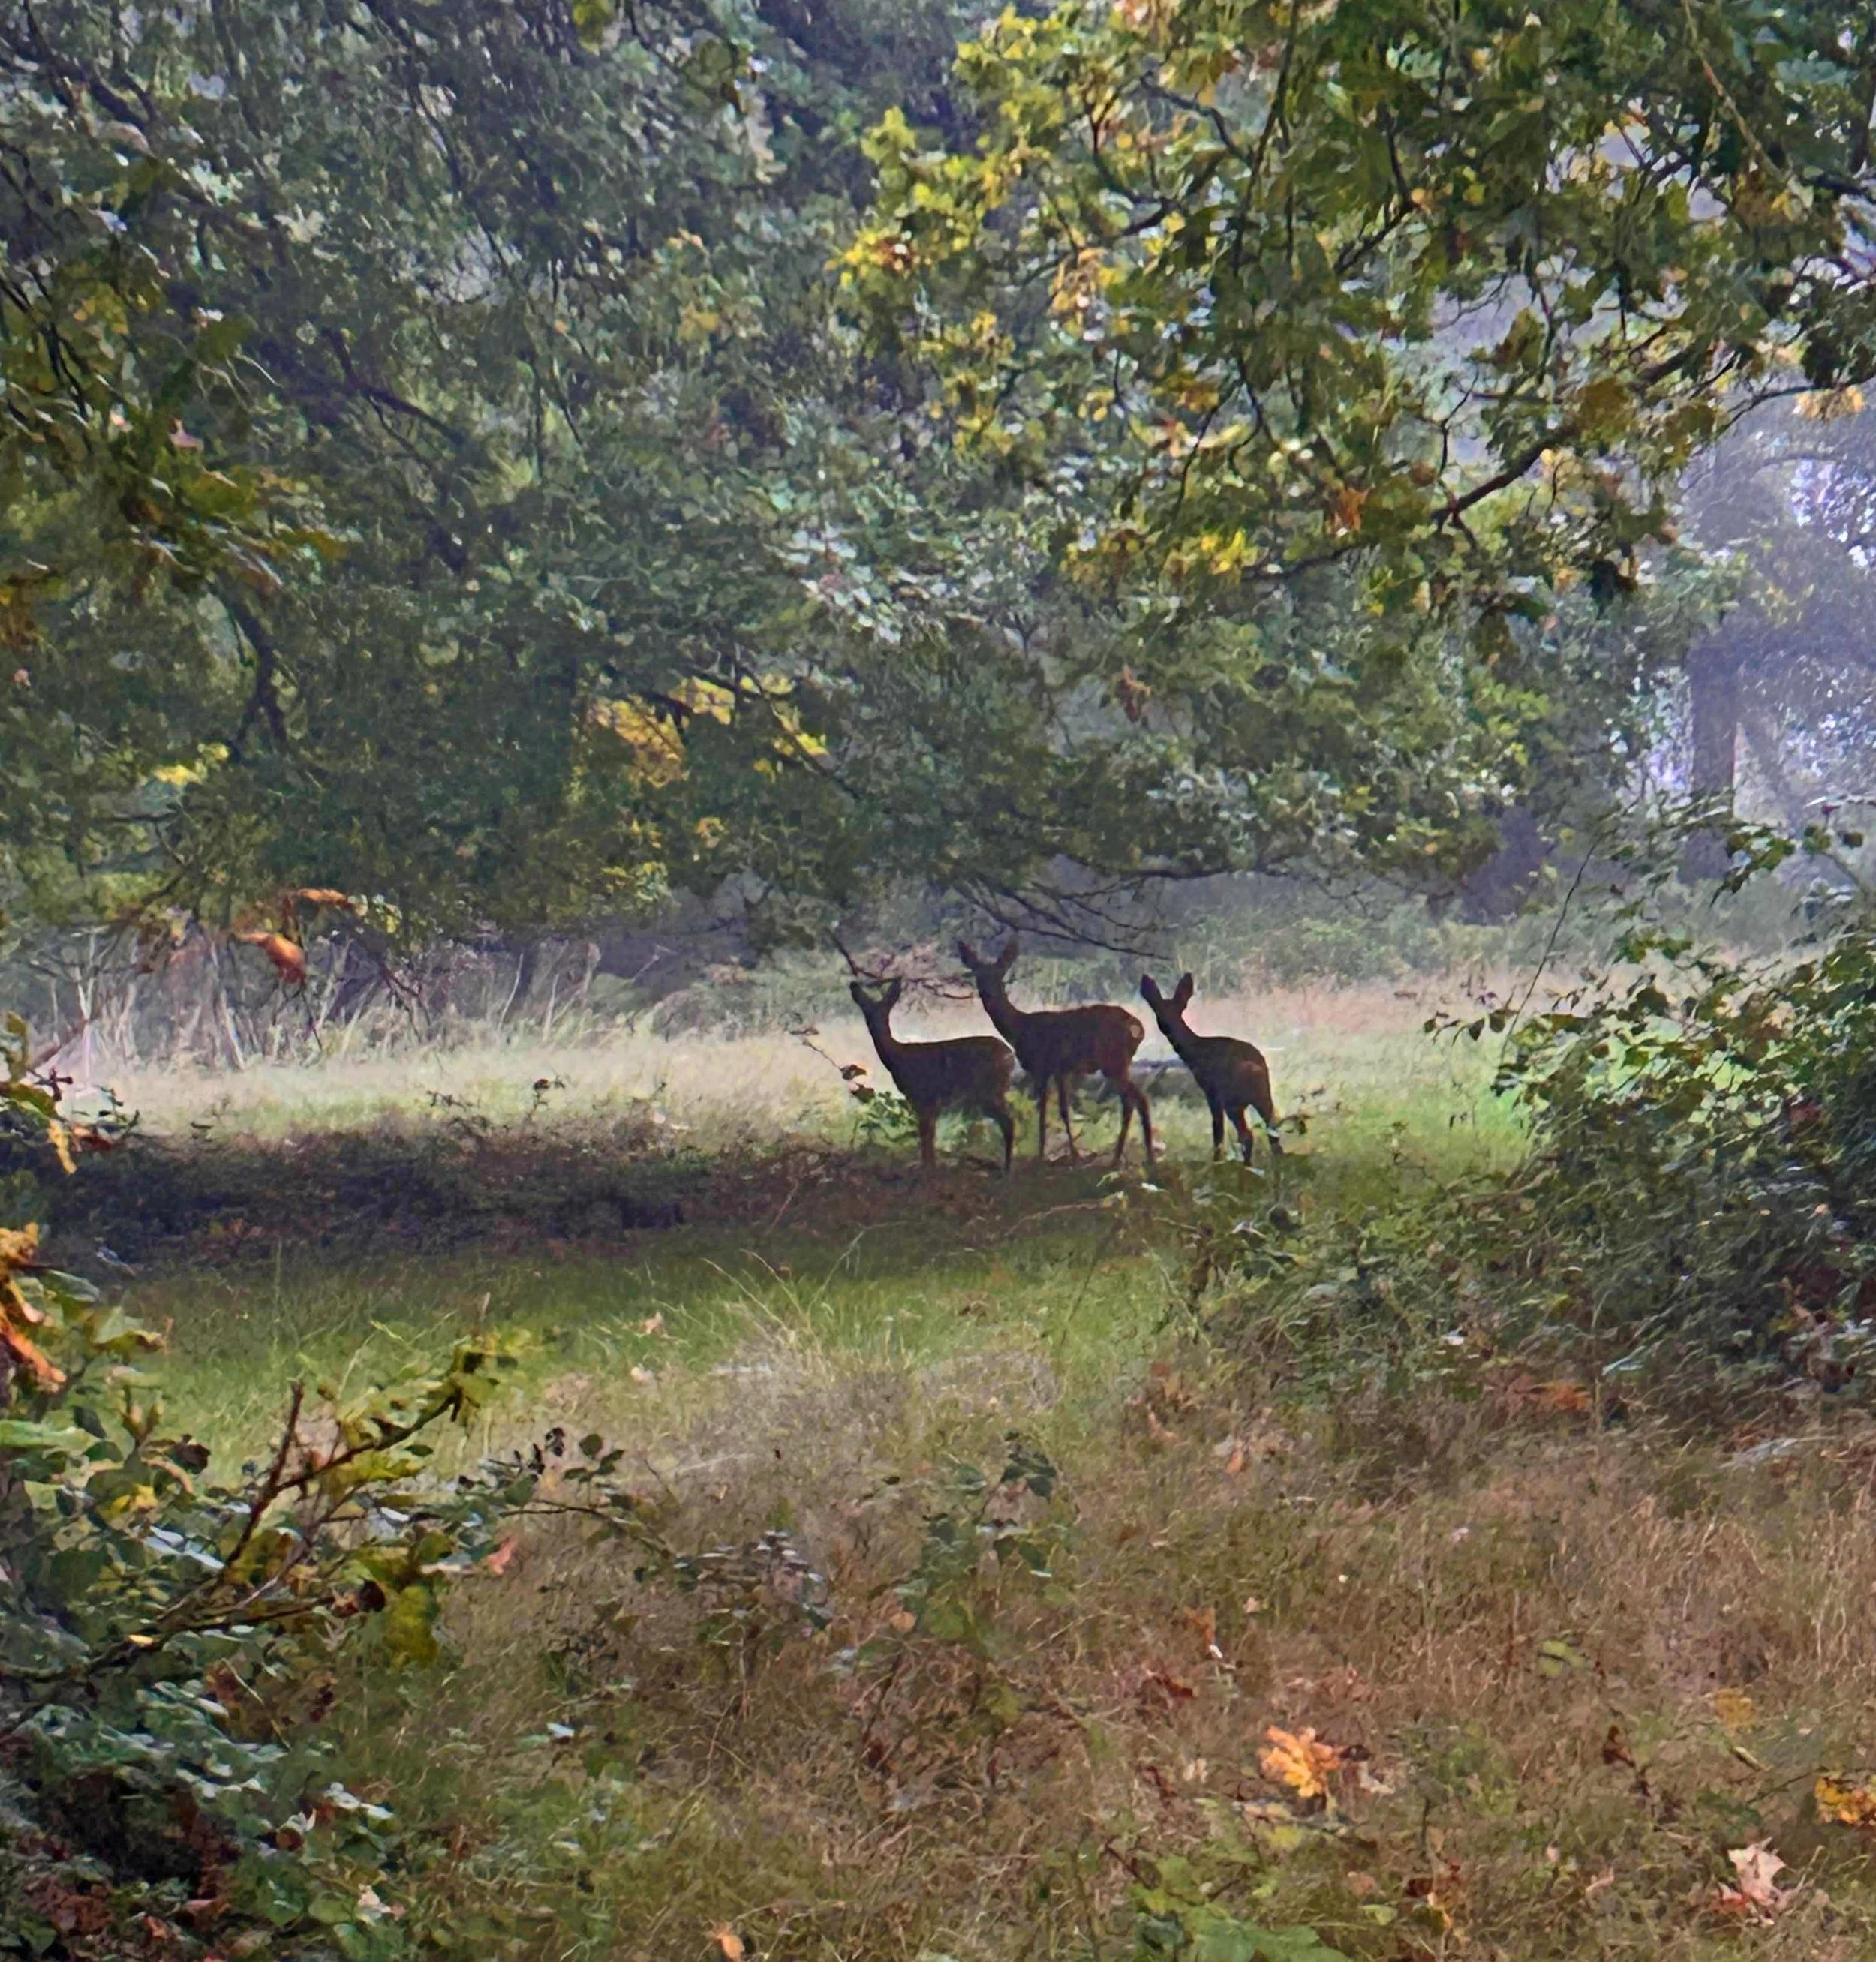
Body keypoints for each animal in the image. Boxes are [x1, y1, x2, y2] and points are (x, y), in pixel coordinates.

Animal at [848, 978, 1016, 1175]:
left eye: (884, 1013)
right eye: (866, 1012)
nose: (874, 1026)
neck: (898, 1059)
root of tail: (1010, 1056)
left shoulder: (924, 1096)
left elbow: (926, 1134)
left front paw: (926, 1169)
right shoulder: (928, 1102)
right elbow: (930, 1135)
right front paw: (931, 1166)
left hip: (989, 1090)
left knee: (1008, 1122)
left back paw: (1007, 1169)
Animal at [956, 936, 1153, 1166]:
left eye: (999, 977)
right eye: (978, 976)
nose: (987, 993)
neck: (1020, 1028)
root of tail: (1137, 1028)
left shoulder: (1042, 1066)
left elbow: (1044, 1112)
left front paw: (1046, 1156)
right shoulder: (1059, 1070)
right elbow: (1061, 1110)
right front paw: (1068, 1154)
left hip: (1114, 1061)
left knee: (1138, 1099)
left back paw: (1139, 1157)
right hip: (1119, 1064)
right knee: (1130, 1101)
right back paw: (1124, 1156)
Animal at [1139, 971, 1282, 1166]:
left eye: (1175, 1012)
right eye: (1159, 1012)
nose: (1167, 1027)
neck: (1195, 1051)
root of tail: (1256, 1068)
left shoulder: (1212, 1092)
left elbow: (1217, 1132)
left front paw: (1216, 1162)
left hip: (1233, 1099)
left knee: (1247, 1135)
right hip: (1262, 1094)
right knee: (1272, 1129)